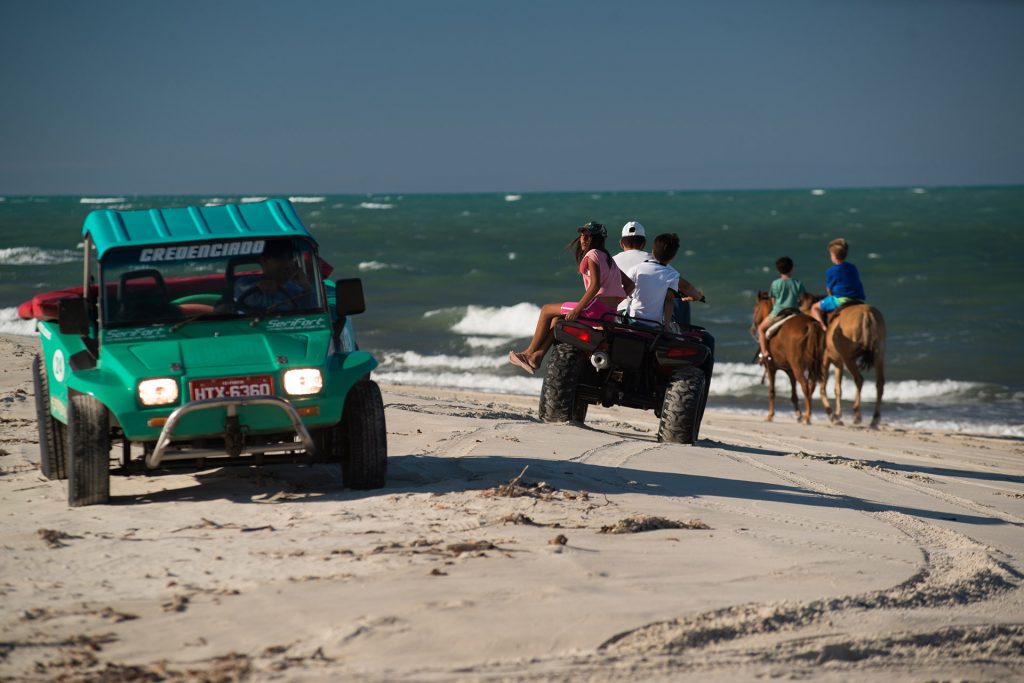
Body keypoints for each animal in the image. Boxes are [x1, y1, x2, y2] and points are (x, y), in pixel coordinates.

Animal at [753, 292, 823, 423]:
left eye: (755, 308)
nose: (752, 328)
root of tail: (810, 324)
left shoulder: (771, 367)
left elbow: (772, 392)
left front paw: (770, 415)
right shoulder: (790, 370)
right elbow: (794, 394)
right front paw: (798, 413)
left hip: (797, 367)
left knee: (805, 386)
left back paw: (807, 416)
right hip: (813, 365)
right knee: (812, 386)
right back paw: (806, 414)